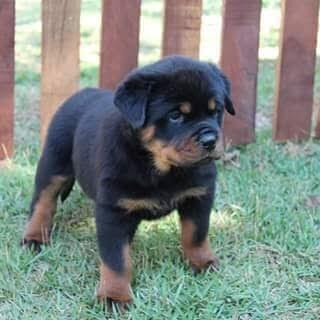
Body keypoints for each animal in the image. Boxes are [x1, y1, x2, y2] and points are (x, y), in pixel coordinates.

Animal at [21, 55, 234, 304]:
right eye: (175, 115)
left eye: (216, 111)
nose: (210, 140)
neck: (161, 168)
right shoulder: (113, 212)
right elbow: (116, 259)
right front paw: (114, 296)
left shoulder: (199, 196)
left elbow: (196, 234)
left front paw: (202, 262)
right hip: (54, 162)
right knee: (43, 201)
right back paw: (34, 237)